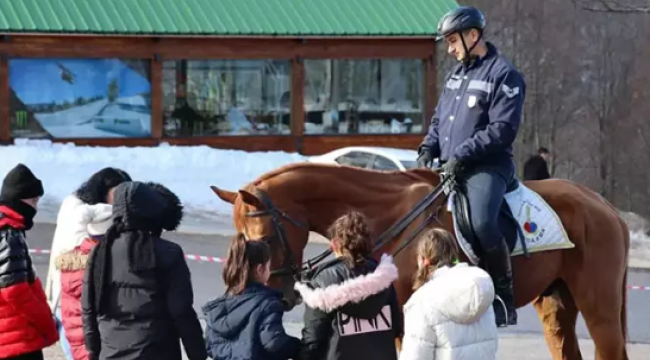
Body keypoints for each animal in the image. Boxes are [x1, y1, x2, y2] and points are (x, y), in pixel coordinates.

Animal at [211, 163, 628, 360]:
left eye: (264, 239)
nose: (279, 297)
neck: (389, 215)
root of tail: (605, 206)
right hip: (556, 306)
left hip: (600, 309)